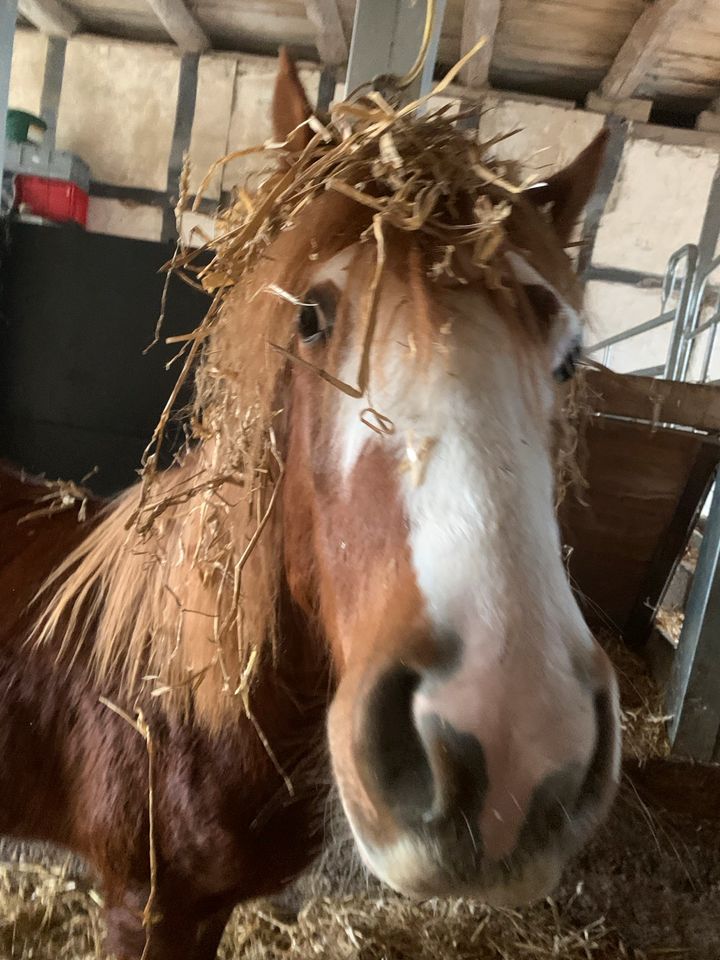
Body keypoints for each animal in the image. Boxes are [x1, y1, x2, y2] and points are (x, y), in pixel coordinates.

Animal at [0, 50, 620, 960]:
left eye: (568, 358)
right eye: (312, 319)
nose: (514, 742)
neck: (178, 695)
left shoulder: (204, 908)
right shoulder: (142, 907)